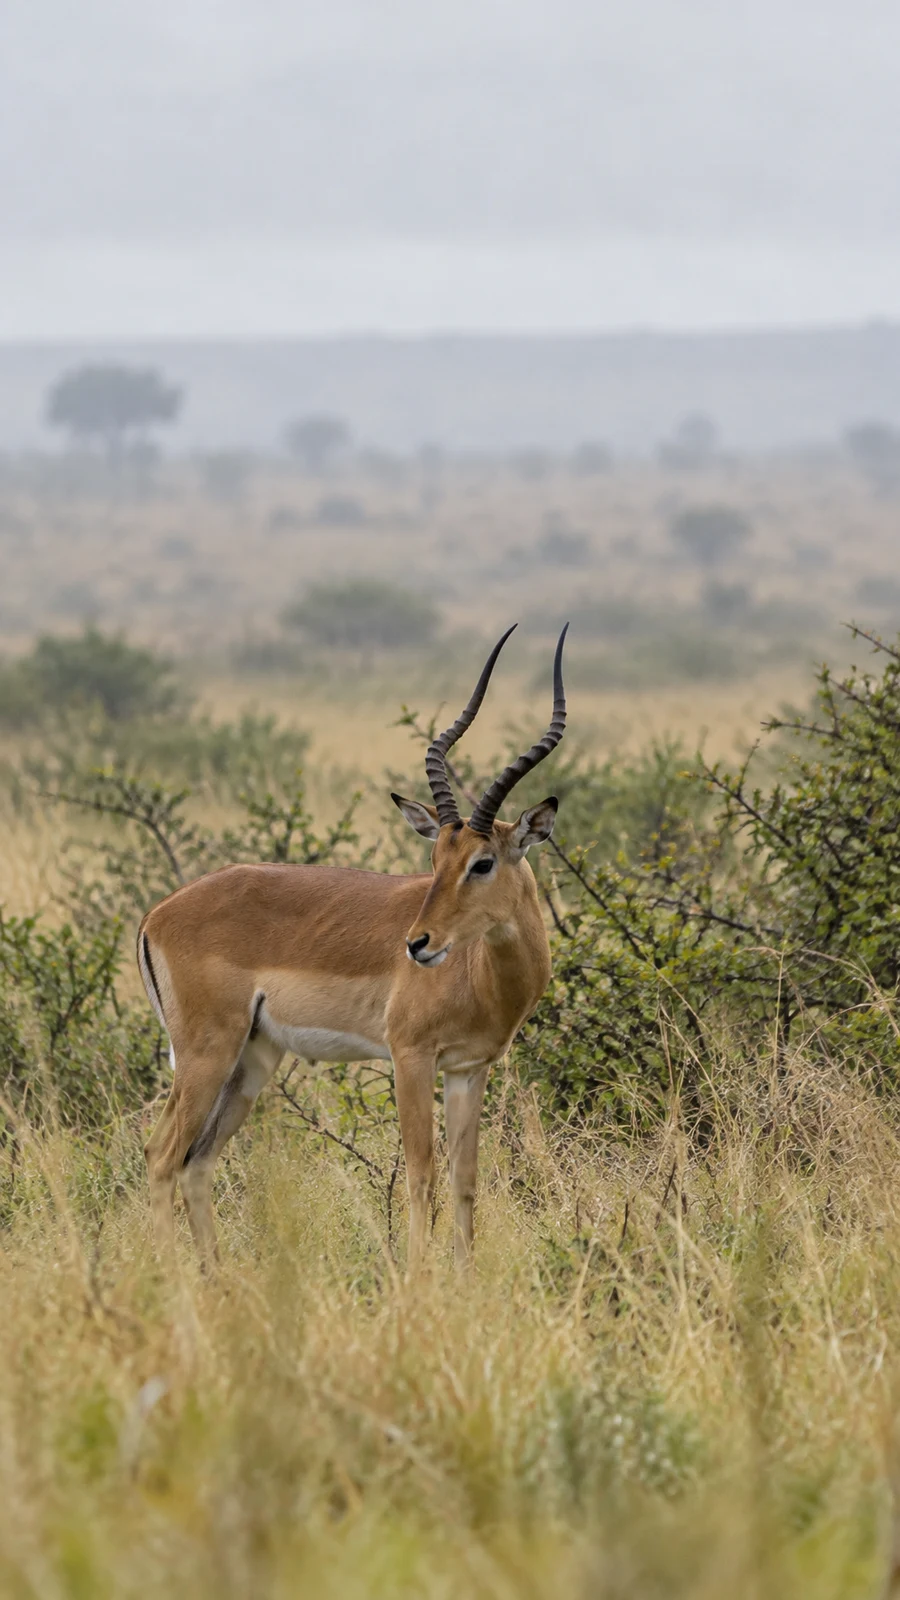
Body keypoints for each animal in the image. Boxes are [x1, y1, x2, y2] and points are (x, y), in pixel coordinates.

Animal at [139, 623, 568, 1271]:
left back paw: (217, 1276)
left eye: (482, 862)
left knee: (197, 1161)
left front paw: (463, 1277)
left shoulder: (469, 1070)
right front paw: (417, 1277)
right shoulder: (409, 1057)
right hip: (205, 1054)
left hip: (252, 1058)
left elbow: (465, 1179)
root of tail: (157, 914)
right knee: (162, 1157)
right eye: (435, 859)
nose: (417, 943)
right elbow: (422, 1174)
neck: (480, 977)